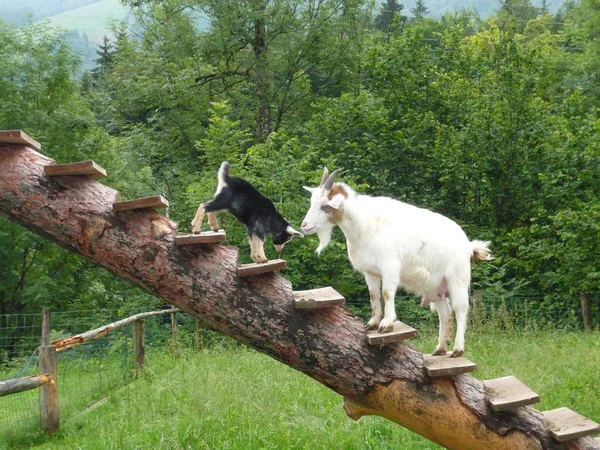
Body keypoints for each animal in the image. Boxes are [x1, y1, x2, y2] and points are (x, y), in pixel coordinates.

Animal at [300, 169, 492, 358]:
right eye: (311, 202)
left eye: (324, 205)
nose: (304, 225)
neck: (364, 225)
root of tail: (468, 245)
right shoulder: (370, 272)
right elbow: (373, 295)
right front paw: (373, 323)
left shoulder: (389, 267)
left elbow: (386, 292)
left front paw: (387, 323)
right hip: (435, 286)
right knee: (444, 312)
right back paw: (440, 349)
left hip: (457, 279)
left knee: (460, 310)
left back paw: (458, 349)